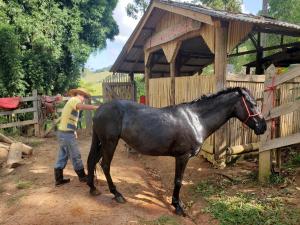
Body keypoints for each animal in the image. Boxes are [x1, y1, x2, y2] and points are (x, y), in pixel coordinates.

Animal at [86, 86, 264, 216]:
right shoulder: (182, 157)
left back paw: (93, 188)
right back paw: (117, 194)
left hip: (103, 143)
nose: (263, 126)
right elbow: (178, 181)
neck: (196, 119)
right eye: (252, 104)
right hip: (110, 142)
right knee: (105, 165)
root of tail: (100, 109)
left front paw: (178, 203)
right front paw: (178, 206)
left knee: (93, 161)